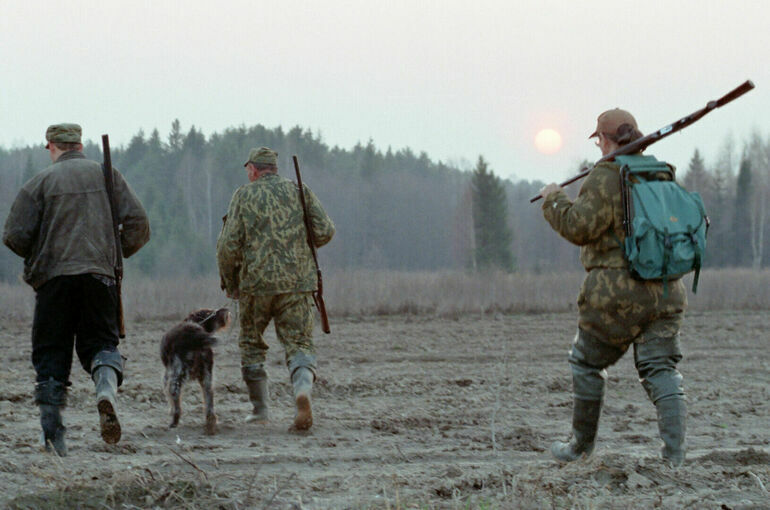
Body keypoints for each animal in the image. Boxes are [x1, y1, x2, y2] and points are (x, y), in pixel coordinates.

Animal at [160, 306, 230, 434]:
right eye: (211, 313)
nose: (225, 311)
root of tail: (195, 335)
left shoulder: (167, 375)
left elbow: (169, 397)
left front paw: (170, 410)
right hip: (207, 378)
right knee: (209, 403)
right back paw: (210, 425)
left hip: (177, 376)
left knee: (176, 399)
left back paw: (173, 423)